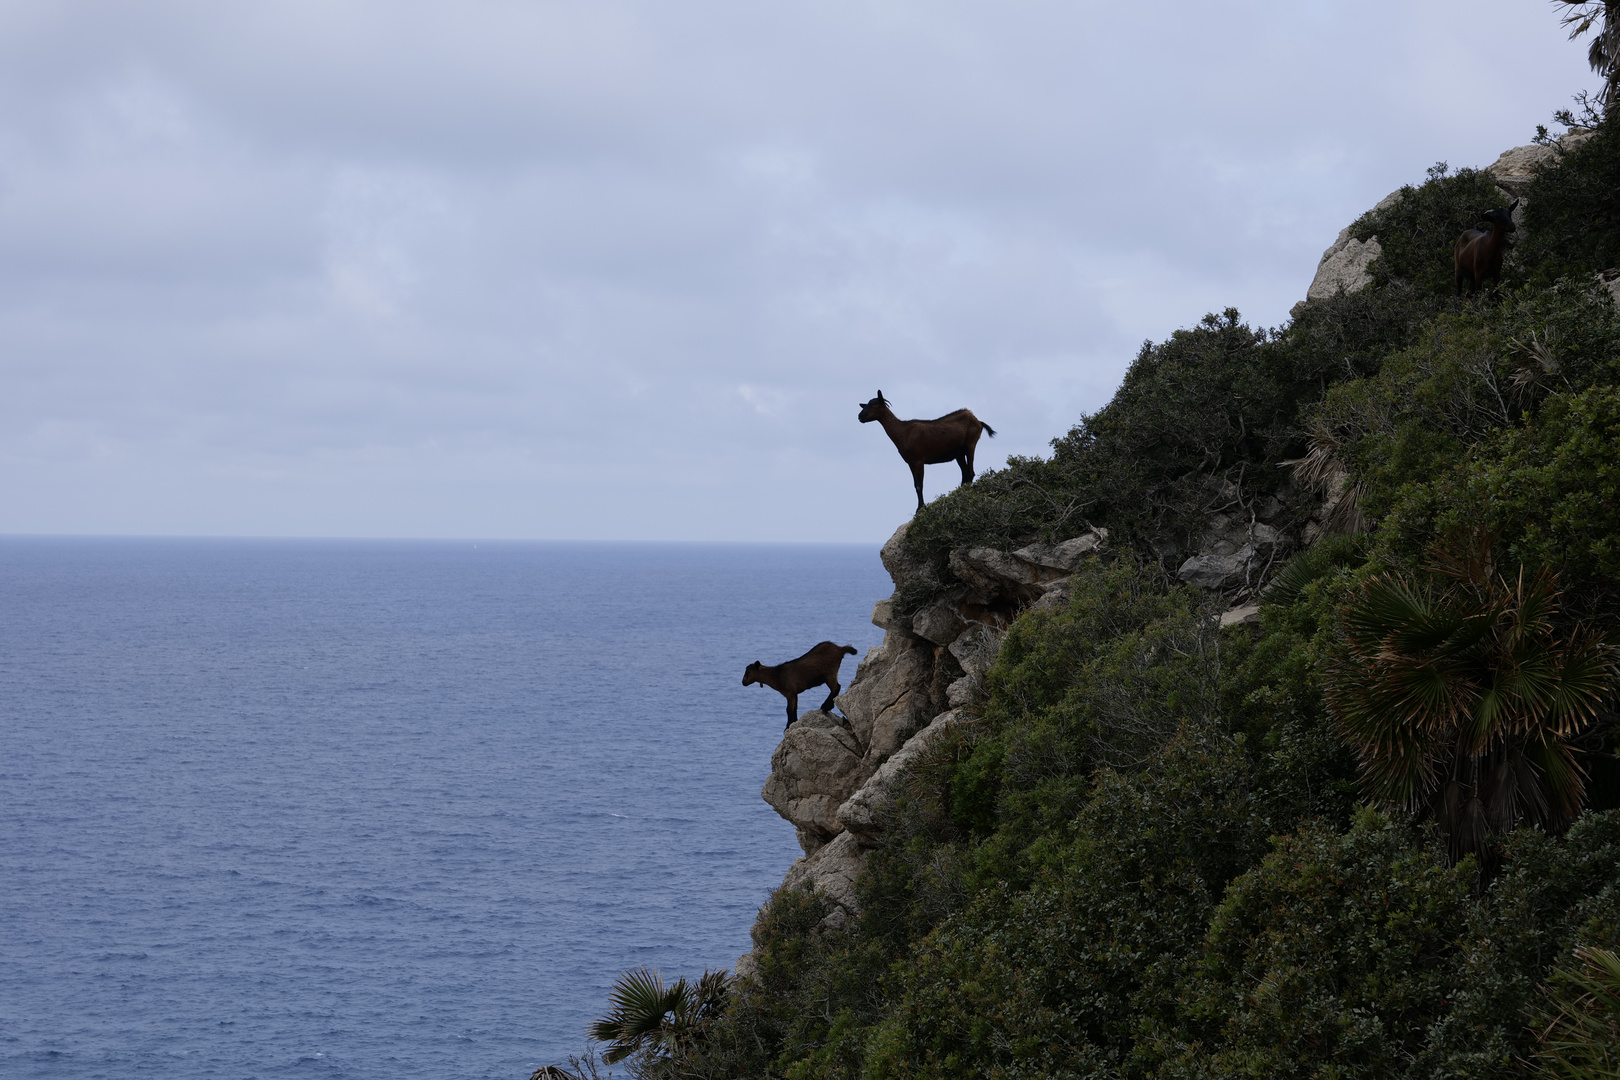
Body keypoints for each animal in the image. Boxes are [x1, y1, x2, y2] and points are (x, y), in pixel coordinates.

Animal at [855, 390, 991, 514]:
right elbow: (916, 485)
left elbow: (920, 485)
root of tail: (978, 421)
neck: (902, 432)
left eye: (874, 404)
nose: (859, 417)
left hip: (970, 444)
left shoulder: (919, 460)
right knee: (965, 473)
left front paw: (920, 508)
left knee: (971, 472)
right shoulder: (910, 462)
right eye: (866, 404)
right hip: (959, 453)